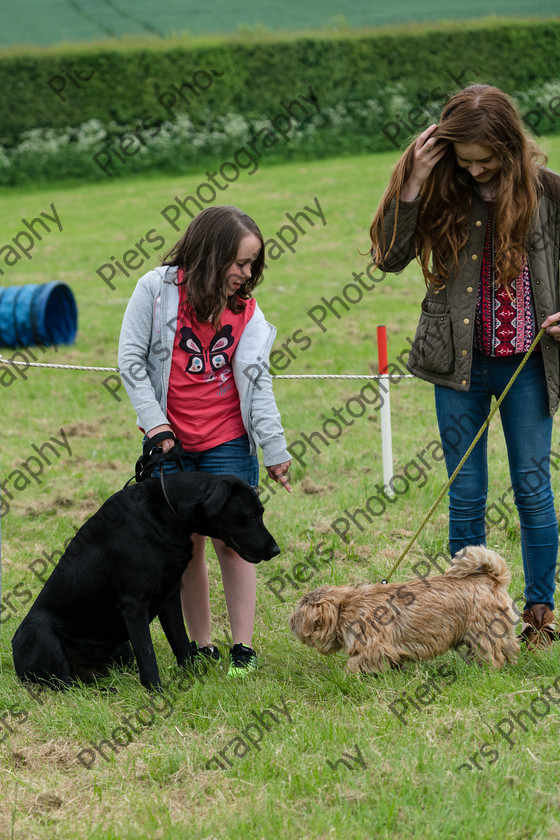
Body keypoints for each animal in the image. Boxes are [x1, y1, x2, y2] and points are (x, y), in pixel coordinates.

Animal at [10, 472, 278, 688]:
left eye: (261, 513)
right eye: (250, 515)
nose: (275, 550)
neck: (169, 514)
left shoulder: (170, 595)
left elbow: (181, 642)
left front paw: (190, 677)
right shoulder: (134, 604)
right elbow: (148, 656)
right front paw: (157, 692)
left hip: (122, 650)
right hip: (38, 628)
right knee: (65, 684)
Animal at [290, 544, 520, 676]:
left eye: (297, 614)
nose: (289, 623)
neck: (345, 607)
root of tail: (491, 578)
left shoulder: (374, 647)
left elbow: (354, 664)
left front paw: (345, 677)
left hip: (484, 633)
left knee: (493, 656)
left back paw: (487, 672)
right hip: (503, 630)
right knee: (511, 648)